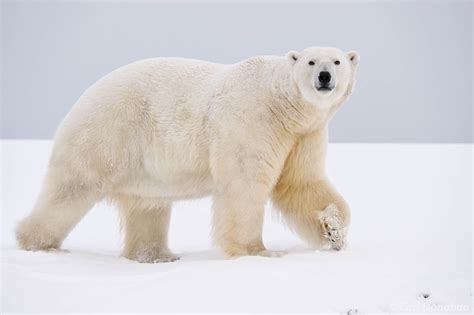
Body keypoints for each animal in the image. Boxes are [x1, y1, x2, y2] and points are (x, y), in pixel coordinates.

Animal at [16, 47, 362, 262]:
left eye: (337, 62)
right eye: (311, 62)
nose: (324, 77)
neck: (282, 105)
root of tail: (83, 98)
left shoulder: (304, 134)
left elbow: (301, 183)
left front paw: (334, 230)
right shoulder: (251, 120)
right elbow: (244, 185)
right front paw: (257, 251)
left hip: (141, 166)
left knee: (148, 206)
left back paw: (157, 256)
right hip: (107, 133)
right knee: (70, 189)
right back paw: (36, 243)